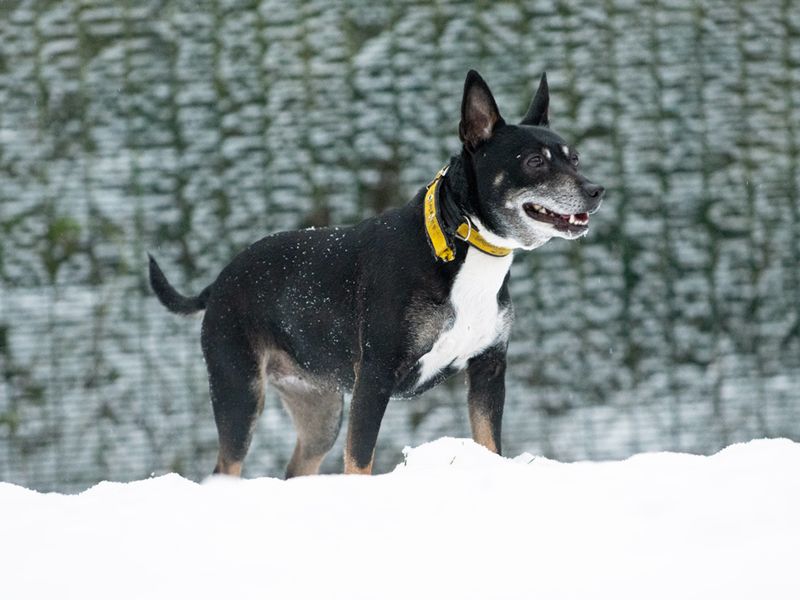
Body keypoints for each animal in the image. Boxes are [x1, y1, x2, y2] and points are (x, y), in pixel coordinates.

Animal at [150, 70, 604, 476]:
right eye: (534, 161)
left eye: (576, 158)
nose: (596, 190)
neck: (458, 243)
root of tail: (220, 280)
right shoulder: (375, 376)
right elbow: (360, 460)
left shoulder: (488, 369)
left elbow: (489, 444)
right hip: (239, 392)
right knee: (226, 466)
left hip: (320, 409)